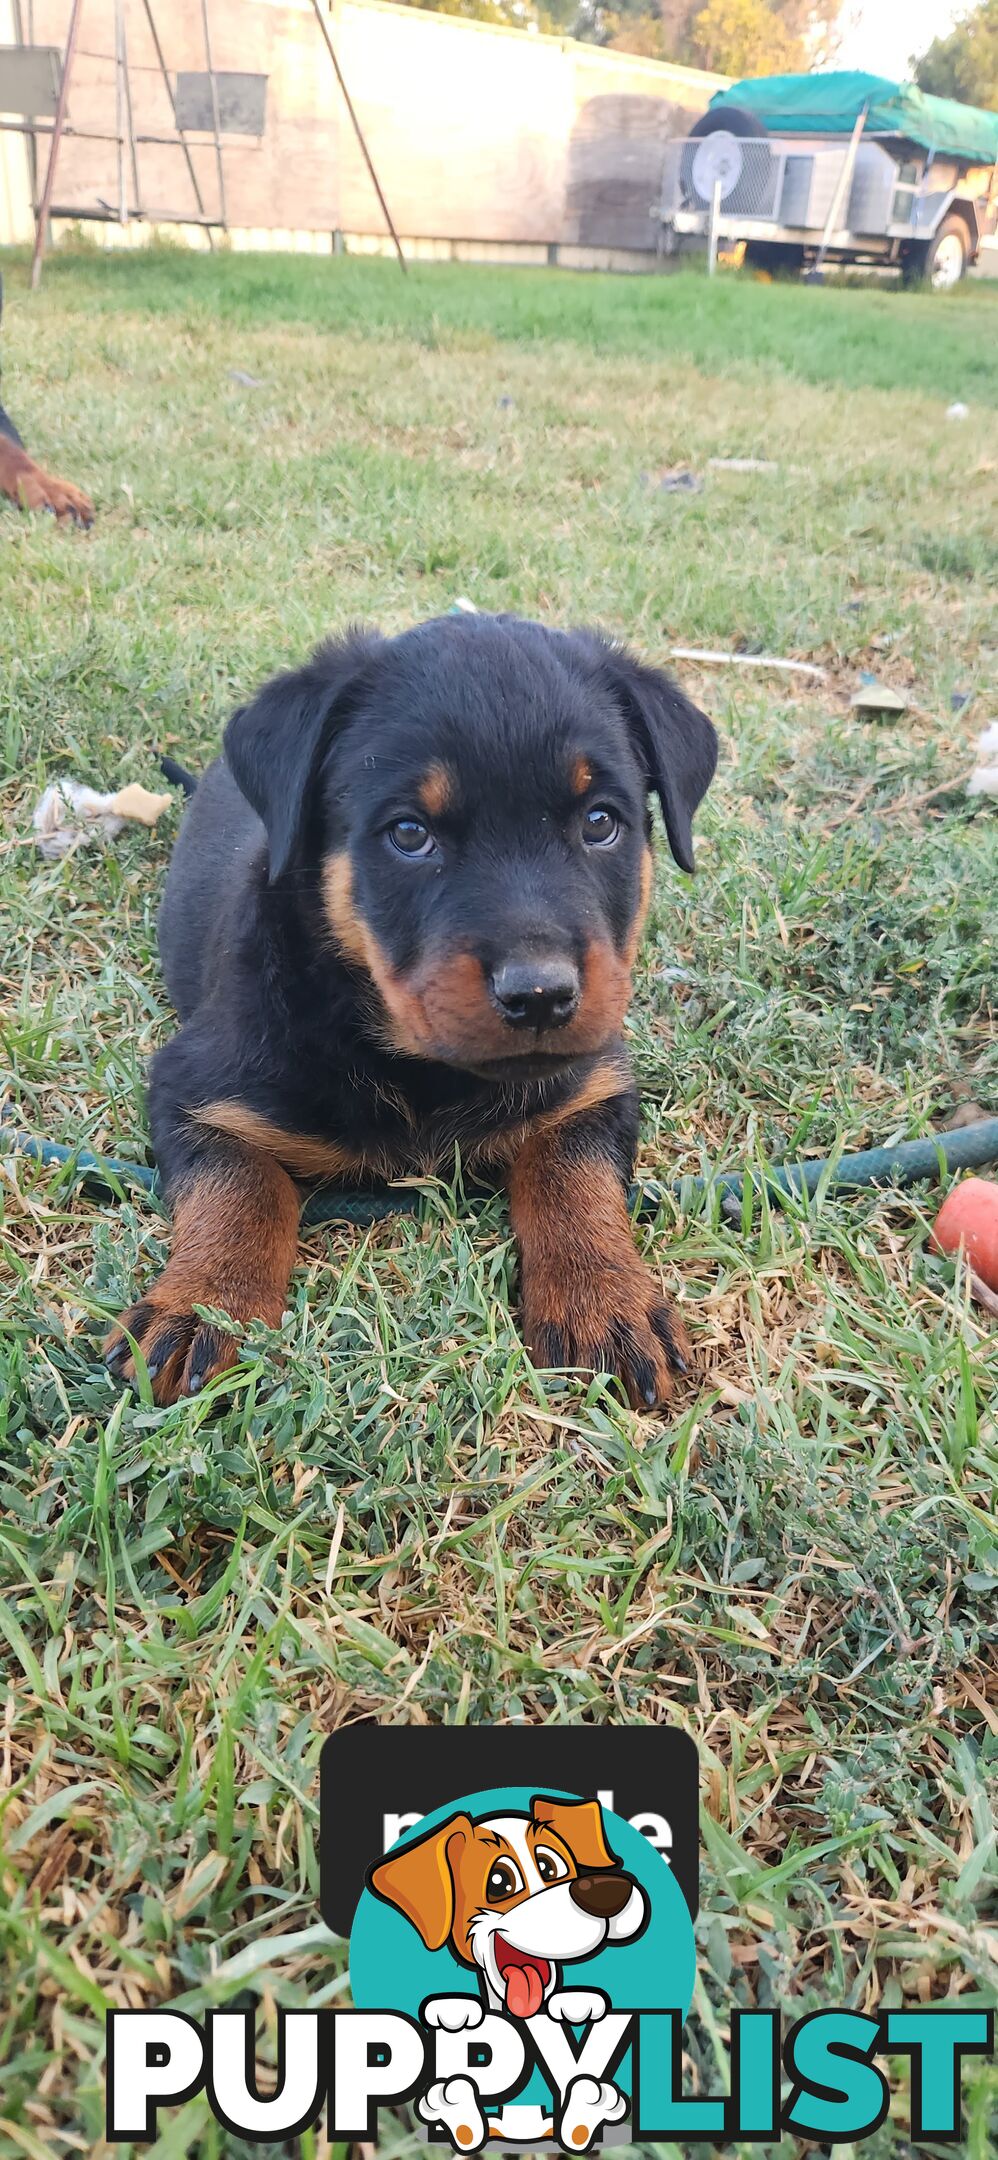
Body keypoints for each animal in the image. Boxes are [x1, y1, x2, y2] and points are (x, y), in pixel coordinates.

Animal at [107, 617, 717, 1408]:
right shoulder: (193, 1085)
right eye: (408, 834)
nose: (541, 995)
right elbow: (239, 1184)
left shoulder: (596, 1078)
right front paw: (202, 1304)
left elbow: (571, 1171)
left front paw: (602, 1297)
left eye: (601, 822)